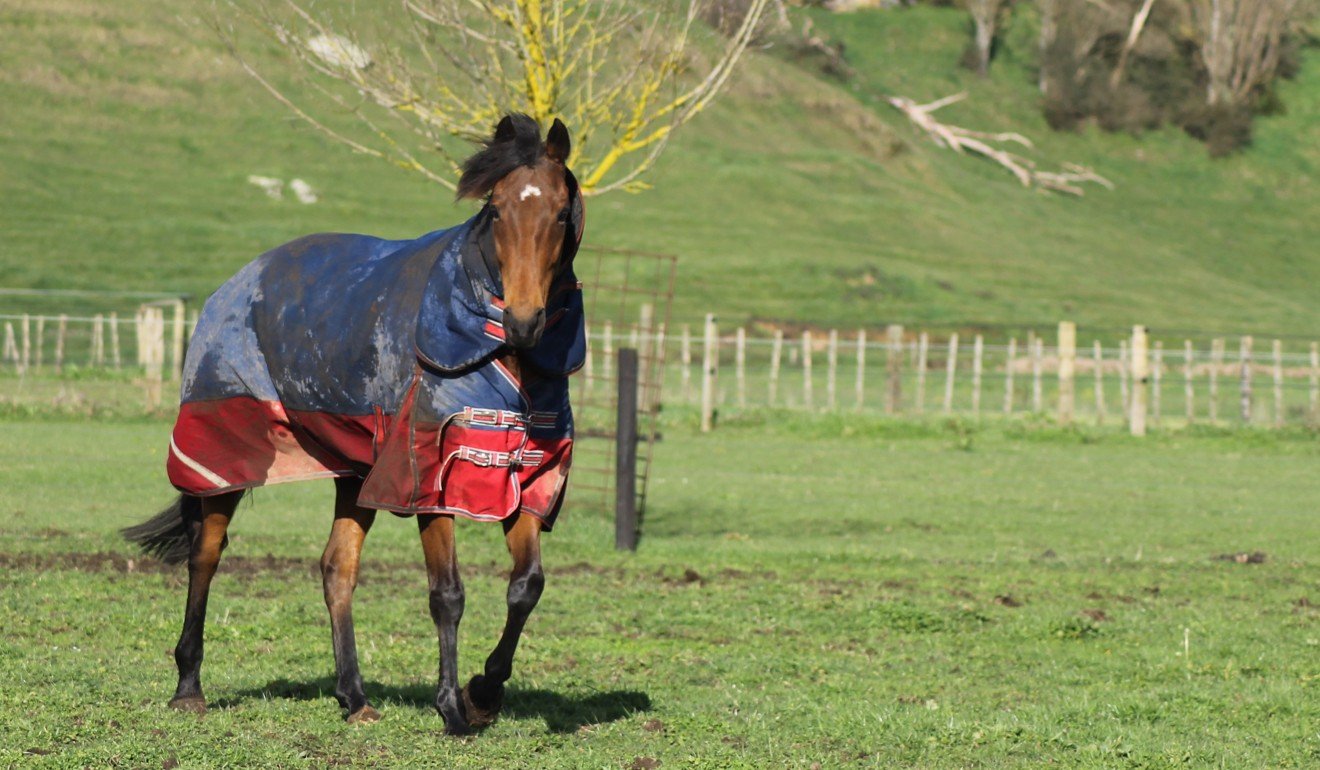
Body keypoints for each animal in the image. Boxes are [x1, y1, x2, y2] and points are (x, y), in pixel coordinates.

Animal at [124, 114, 588, 734]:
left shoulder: (527, 478)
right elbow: (447, 594)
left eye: (560, 213)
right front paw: (452, 707)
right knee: (207, 554)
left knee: (336, 568)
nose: (523, 319)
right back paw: (188, 686)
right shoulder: (427, 479)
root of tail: (234, 284)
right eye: (495, 210)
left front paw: (483, 691)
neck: (502, 357)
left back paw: (354, 696)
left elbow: (526, 586)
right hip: (223, 455)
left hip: (353, 472)